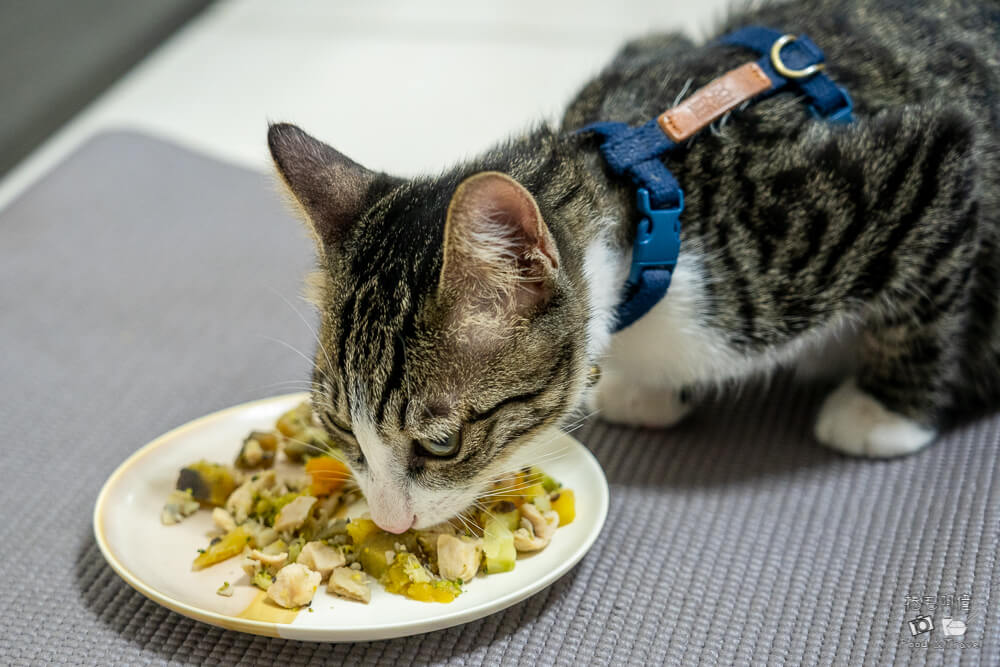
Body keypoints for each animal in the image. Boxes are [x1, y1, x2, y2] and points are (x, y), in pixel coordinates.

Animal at [266, 0, 1000, 536]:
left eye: (442, 444)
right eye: (339, 428)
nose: (390, 522)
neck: (638, 191)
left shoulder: (916, 162)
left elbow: (927, 291)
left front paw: (886, 412)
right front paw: (648, 388)